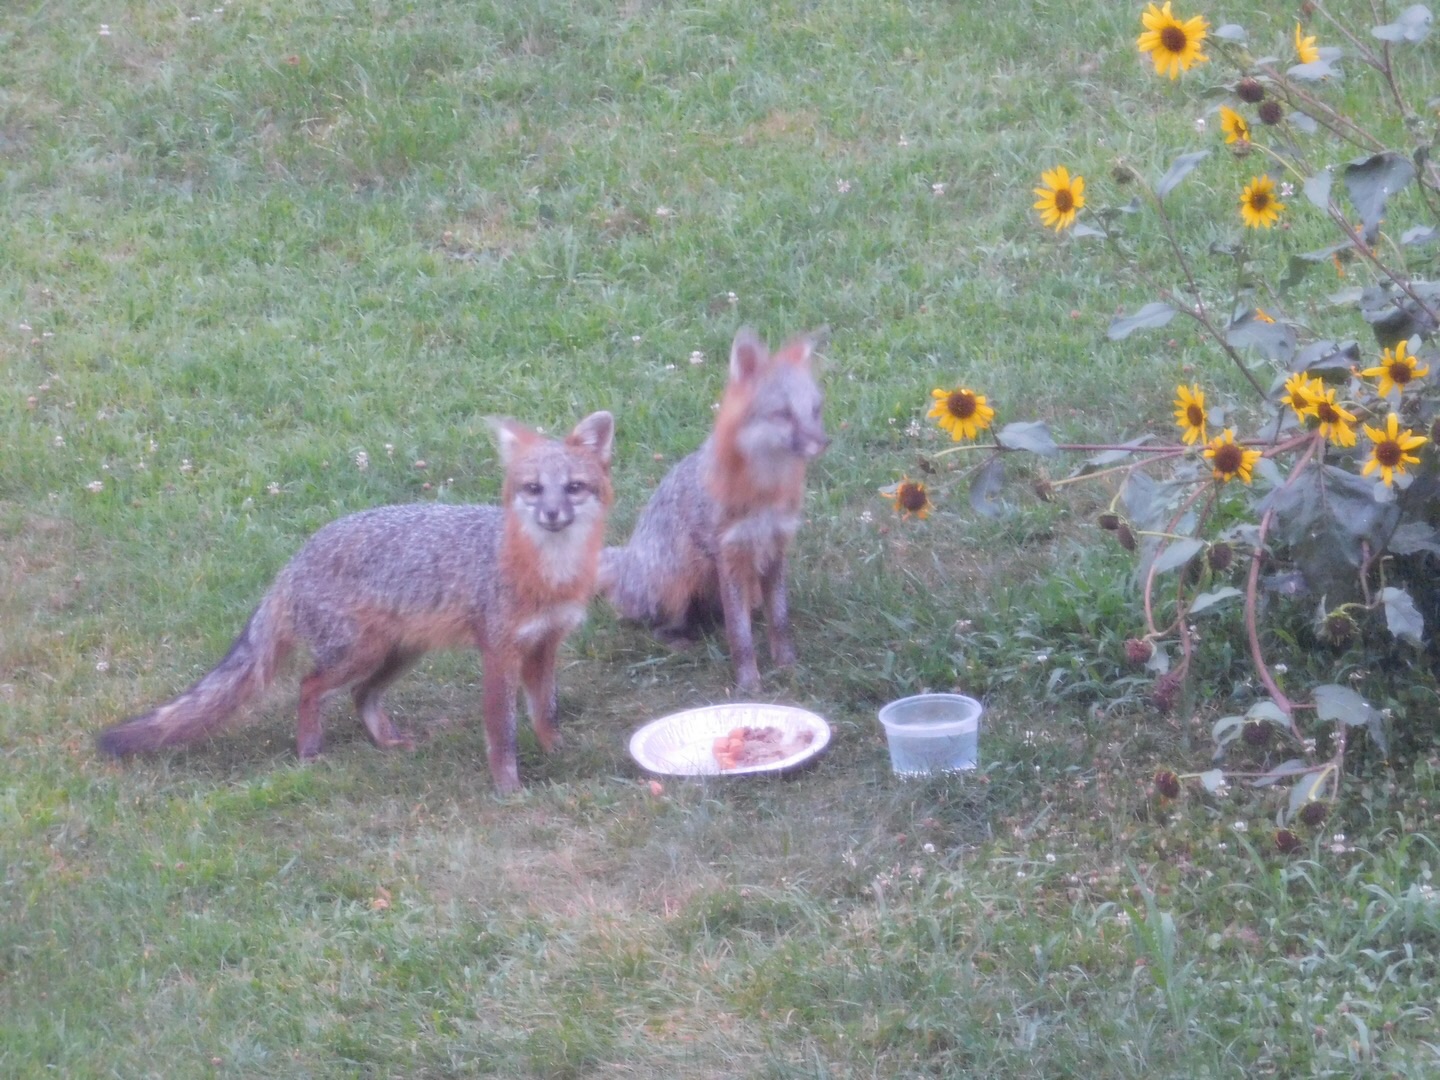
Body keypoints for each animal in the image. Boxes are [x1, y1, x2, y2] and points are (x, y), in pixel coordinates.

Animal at [95, 408, 613, 794]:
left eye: (573, 487)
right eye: (533, 489)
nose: (552, 514)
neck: (547, 574)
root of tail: (291, 564)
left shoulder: (544, 645)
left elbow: (545, 711)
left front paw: (556, 752)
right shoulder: (499, 653)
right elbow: (501, 732)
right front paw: (509, 788)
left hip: (398, 653)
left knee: (360, 695)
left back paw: (385, 743)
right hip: (359, 654)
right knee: (309, 686)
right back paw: (309, 752)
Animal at [599, 325, 829, 694]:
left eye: (815, 410)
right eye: (783, 414)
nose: (824, 443)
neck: (765, 492)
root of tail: (627, 561)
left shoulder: (775, 548)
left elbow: (780, 620)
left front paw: (788, 666)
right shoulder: (730, 555)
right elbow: (740, 635)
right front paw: (750, 685)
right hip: (678, 582)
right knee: (657, 624)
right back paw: (680, 640)